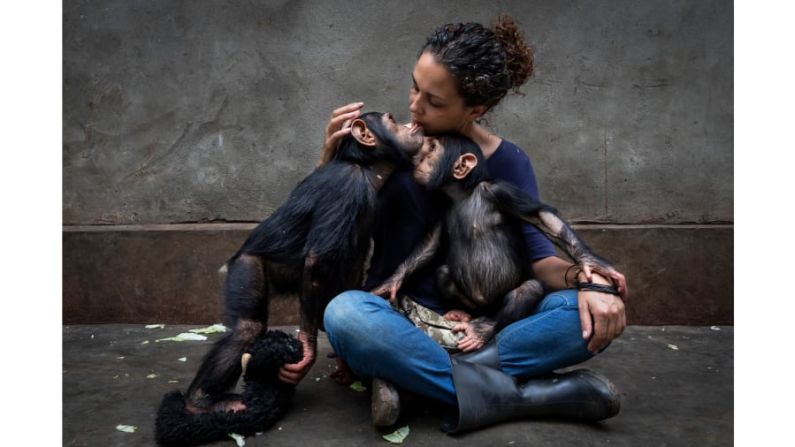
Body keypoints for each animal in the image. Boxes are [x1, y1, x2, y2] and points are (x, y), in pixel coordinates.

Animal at [185, 113, 430, 412]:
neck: (369, 170)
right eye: (392, 120)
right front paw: (308, 348)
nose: (410, 124)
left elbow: (352, 265)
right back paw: (198, 401)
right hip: (246, 268)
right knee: (247, 329)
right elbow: (317, 260)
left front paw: (344, 364)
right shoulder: (344, 188)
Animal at [374, 135, 620, 352]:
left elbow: (541, 217)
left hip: (502, 302)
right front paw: (392, 283)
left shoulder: (500, 191)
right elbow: (431, 243)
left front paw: (591, 262)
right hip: (473, 302)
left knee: (528, 290)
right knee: (443, 273)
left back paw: (482, 329)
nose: (420, 157)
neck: (464, 194)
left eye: (433, 148)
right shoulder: (442, 207)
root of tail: (487, 308)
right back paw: (461, 314)